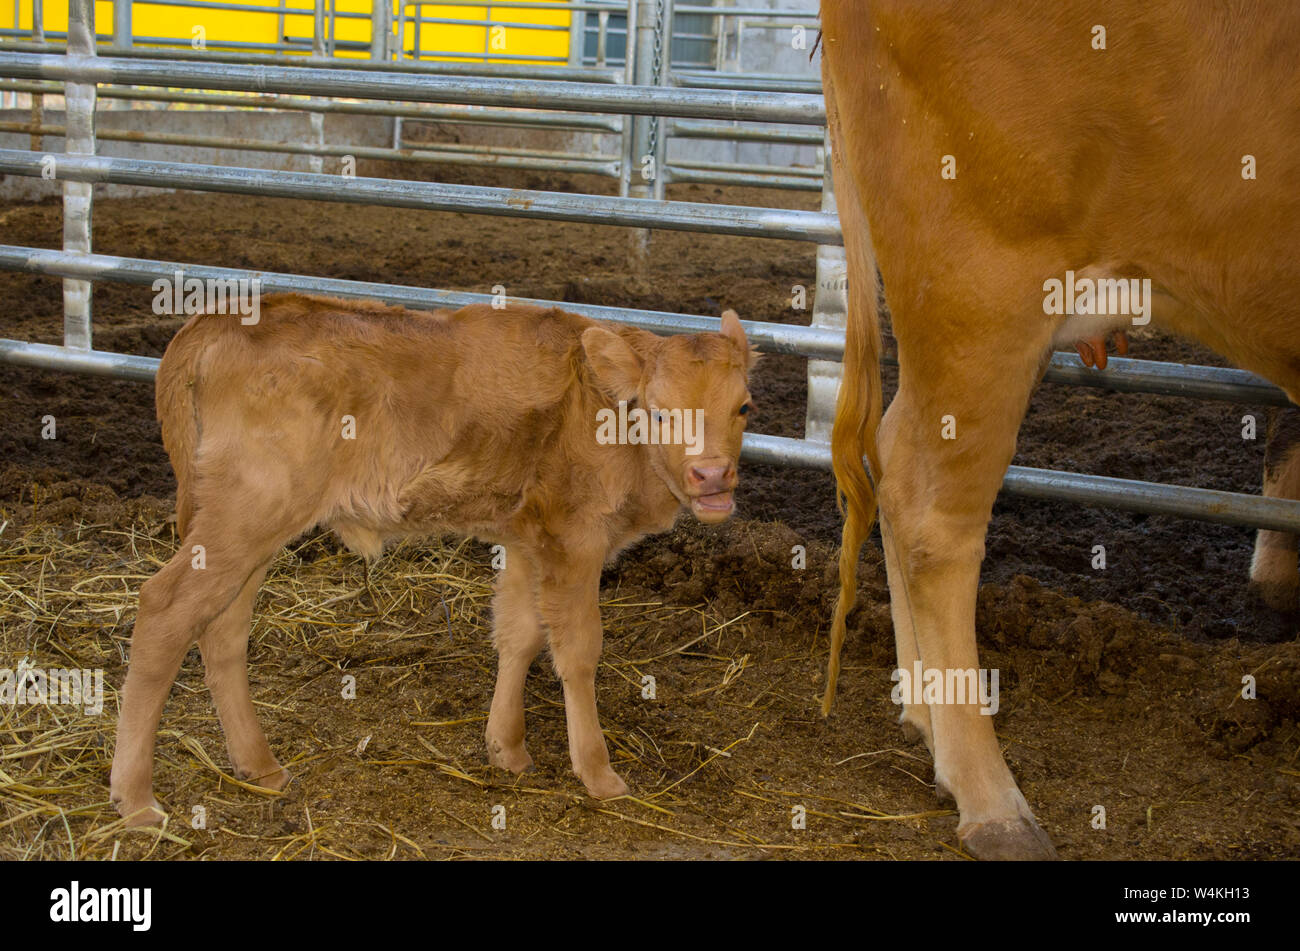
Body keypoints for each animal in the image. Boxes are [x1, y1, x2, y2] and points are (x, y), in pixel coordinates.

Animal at [109, 294, 756, 826]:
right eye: (661, 411)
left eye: (744, 407)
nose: (712, 476)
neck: (600, 410)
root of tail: (225, 317)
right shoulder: (576, 540)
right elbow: (577, 651)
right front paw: (598, 773)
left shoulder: (527, 538)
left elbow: (519, 634)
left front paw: (507, 748)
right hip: (244, 518)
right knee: (165, 610)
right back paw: (137, 800)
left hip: (248, 532)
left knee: (222, 629)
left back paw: (258, 765)